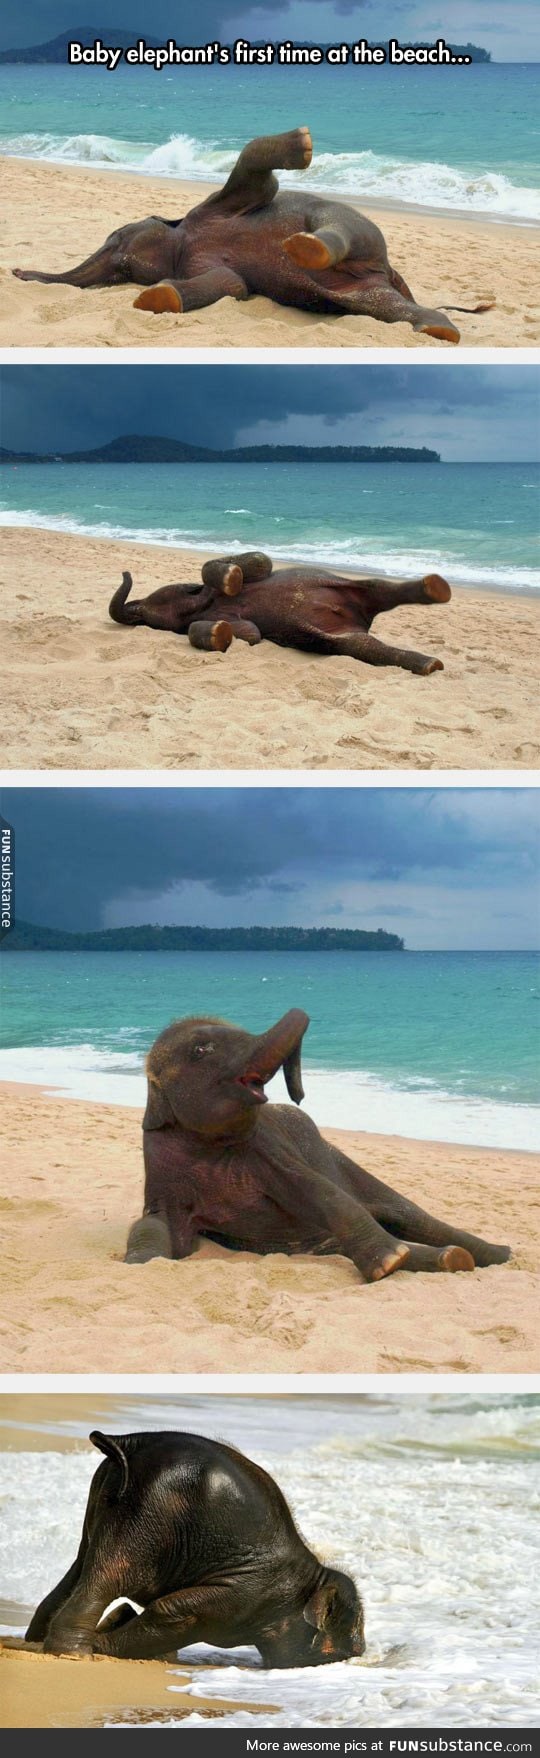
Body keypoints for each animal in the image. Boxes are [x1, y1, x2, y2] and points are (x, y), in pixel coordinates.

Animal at [13, 126, 496, 342]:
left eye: (116, 234)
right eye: (121, 274)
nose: (17, 273)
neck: (183, 235)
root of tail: (393, 271)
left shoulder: (216, 205)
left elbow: (261, 184)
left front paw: (302, 145)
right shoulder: (204, 262)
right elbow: (232, 285)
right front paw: (157, 298)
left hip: (360, 230)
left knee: (333, 222)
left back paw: (304, 246)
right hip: (364, 286)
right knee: (380, 304)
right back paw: (438, 329)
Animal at [25, 1427, 364, 1659]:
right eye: (352, 1643)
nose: (360, 1652)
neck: (312, 1577)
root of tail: (130, 1441)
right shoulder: (246, 1595)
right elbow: (176, 1612)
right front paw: (106, 1639)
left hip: (107, 1499)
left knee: (81, 1564)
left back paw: (36, 1641)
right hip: (148, 1513)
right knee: (110, 1574)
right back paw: (73, 1653)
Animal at [109, 548, 453, 671]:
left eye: (147, 614)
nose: (125, 571)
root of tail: (361, 620)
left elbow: (262, 561)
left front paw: (231, 577)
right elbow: (250, 634)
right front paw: (222, 633)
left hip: (339, 583)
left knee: (378, 588)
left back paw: (435, 586)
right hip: (335, 637)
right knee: (364, 645)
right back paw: (430, 664)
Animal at [125, 1012, 513, 1286]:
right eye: (201, 1050)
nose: (298, 1095)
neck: (206, 1145)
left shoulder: (271, 1151)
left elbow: (318, 1191)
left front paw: (389, 1262)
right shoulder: (159, 1169)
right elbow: (154, 1223)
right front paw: (141, 1264)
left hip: (343, 1160)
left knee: (412, 1216)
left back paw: (496, 1255)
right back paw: (452, 1259)